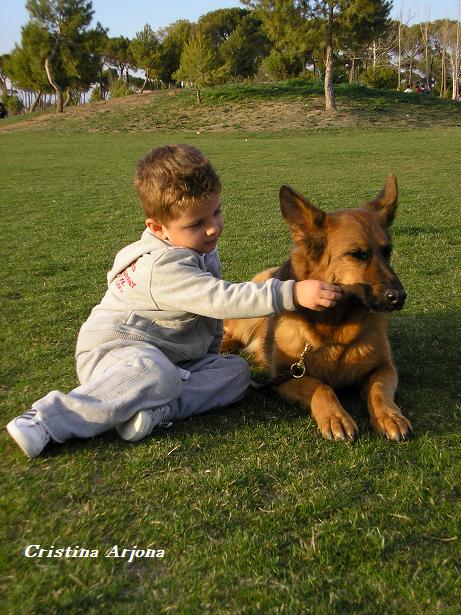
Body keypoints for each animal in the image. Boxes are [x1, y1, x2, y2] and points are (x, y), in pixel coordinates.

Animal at [221, 177, 412, 442]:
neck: (337, 333)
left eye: (387, 251)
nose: (399, 297)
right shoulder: (286, 377)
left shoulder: (384, 368)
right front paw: (336, 417)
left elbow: (379, 390)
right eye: (357, 255)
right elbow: (322, 387)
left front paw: (389, 416)